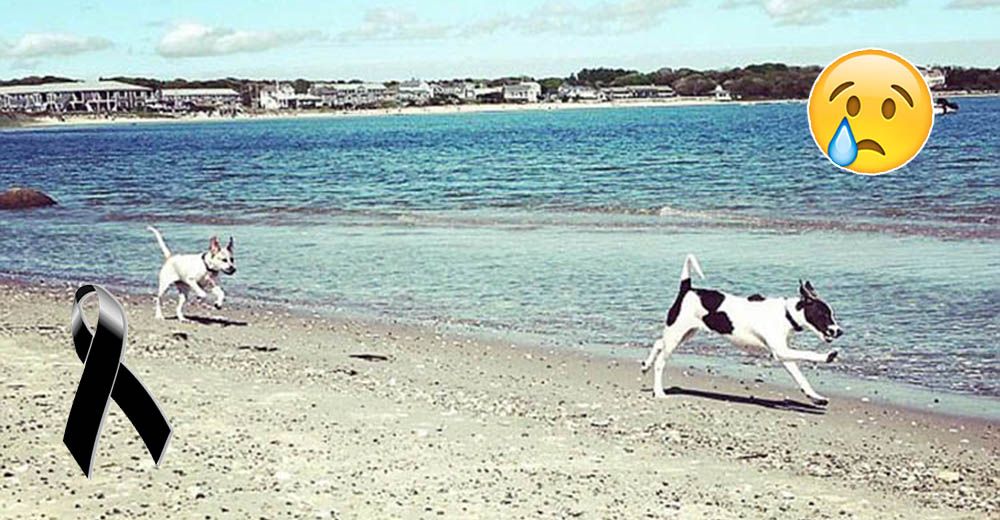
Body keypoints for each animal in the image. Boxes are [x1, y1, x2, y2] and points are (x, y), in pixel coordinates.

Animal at [640, 256, 844, 406]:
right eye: (824, 314)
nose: (839, 331)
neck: (786, 314)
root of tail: (687, 290)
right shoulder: (780, 352)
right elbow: (808, 353)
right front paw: (828, 356)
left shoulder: (784, 354)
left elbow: (800, 377)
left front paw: (815, 397)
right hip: (677, 334)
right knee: (660, 362)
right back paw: (658, 391)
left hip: (685, 333)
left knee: (658, 343)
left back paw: (645, 365)